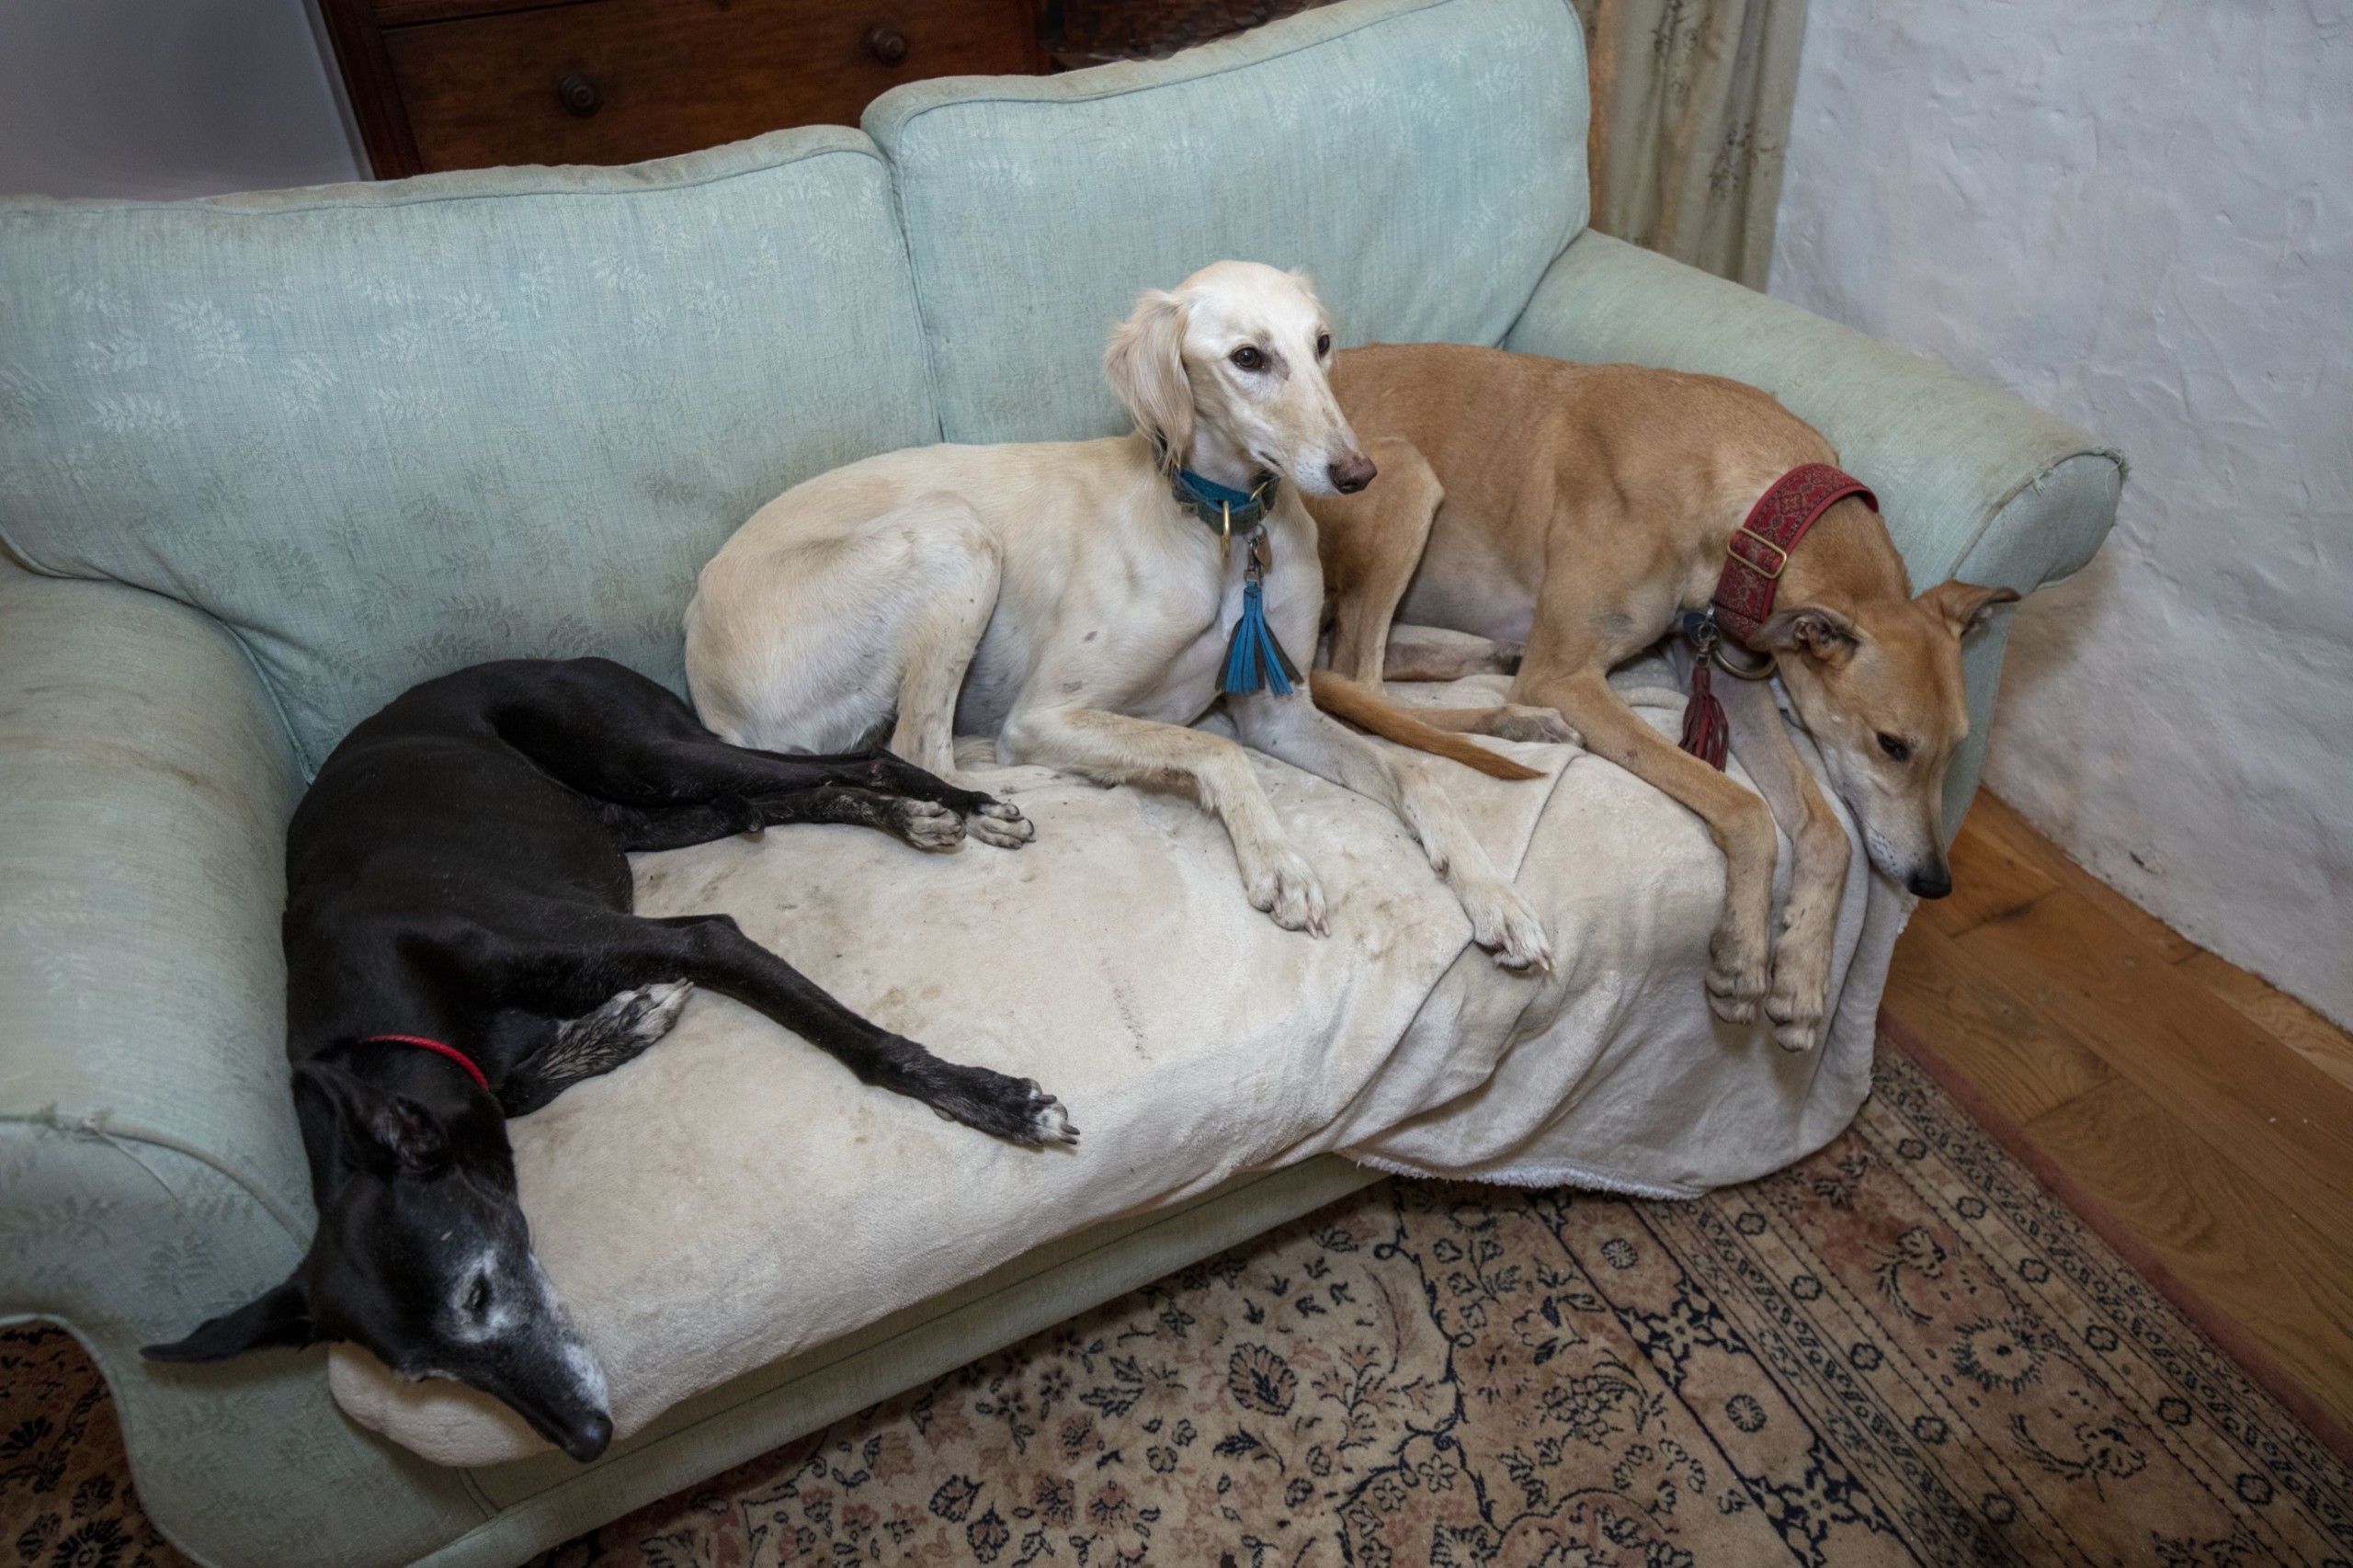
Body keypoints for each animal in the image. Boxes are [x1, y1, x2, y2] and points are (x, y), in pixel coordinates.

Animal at [142, 658, 1073, 1462]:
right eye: (423, 1376)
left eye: (476, 1292)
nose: (585, 1442)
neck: (372, 1027)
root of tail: (566, 658)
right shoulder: (485, 1078)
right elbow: (518, 1087)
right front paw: (626, 1021)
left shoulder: (695, 938)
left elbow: (863, 1045)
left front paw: (996, 1101)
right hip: (639, 811)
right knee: (784, 794)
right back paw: (910, 818)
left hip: (639, 753)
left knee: (853, 758)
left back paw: (972, 803)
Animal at [684, 262, 1550, 970]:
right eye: (1248, 357)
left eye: (1323, 343)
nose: (1358, 473)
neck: (1223, 531)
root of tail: (699, 656)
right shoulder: (1047, 713)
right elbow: (1215, 752)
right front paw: (1279, 862)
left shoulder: (1278, 714)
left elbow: (1414, 771)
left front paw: (1495, 896)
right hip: (953, 529)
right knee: (924, 751)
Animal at [1306, 343, 2017, 1051]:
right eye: (1891, 745)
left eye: (1957, 749)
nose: (1933, 882)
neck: (1744, 500)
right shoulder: (1563, 674)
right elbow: (1745, 806)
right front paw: (1743, 954)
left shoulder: (1730, 666)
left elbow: (1827, 832)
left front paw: (1802, 976)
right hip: (1406, 475)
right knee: (1355, 685)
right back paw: (1517, 721)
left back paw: (1492, 667)